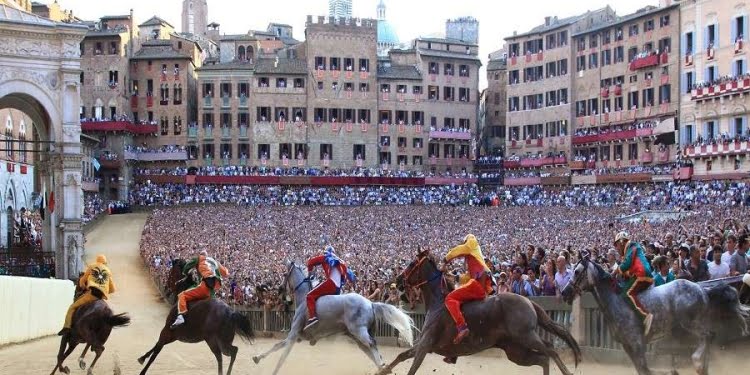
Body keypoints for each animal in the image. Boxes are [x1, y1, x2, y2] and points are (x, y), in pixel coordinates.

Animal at [253, 262, 418, 375]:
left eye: (284, 274)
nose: (279, 290)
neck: (304, 297)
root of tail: (371, 303)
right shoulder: (298, 336)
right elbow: (278, 346)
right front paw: (257, 358)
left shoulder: (293, 334)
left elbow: (282, 355)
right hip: (358, 336)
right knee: (370, 349)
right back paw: (383, 368)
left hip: (358, 331)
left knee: (372, 344)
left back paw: (383, 368)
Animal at [378, 250, 584, 375]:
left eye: (412, 263)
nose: (398, 281)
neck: (437, 303)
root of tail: (529, 302)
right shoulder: (426, 346)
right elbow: (401, 356)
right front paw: (383, 369)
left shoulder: (425, 345)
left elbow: (412, 366)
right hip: (515, 350)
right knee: (543, 358)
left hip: (526, 336)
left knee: (550, 350)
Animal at [564, 253, 750, 375]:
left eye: (577, 271)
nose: (565, 292)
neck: (616, 302)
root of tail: (701, 288)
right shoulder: (627, 346)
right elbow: (642, 370)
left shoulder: (637, 343)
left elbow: (646, 370)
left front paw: (672, 371)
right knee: (710, 337)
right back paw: (703, 368)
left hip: (690, 322)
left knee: (708, 335)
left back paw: (697, 362)